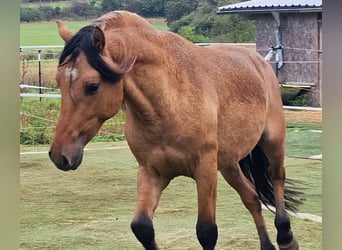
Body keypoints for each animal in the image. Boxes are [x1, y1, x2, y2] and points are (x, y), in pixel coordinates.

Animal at [48, 10, 302, 250]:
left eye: (92, 86)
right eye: (59, 81)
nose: (59, 155)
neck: (168, 101)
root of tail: (259, 61)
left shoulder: (204, 170)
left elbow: (207, 232)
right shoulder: (152, 171)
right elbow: (142, 227)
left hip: (273, 142)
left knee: (276, 178)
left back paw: (286, 237)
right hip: (228, 163)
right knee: (251, 197)